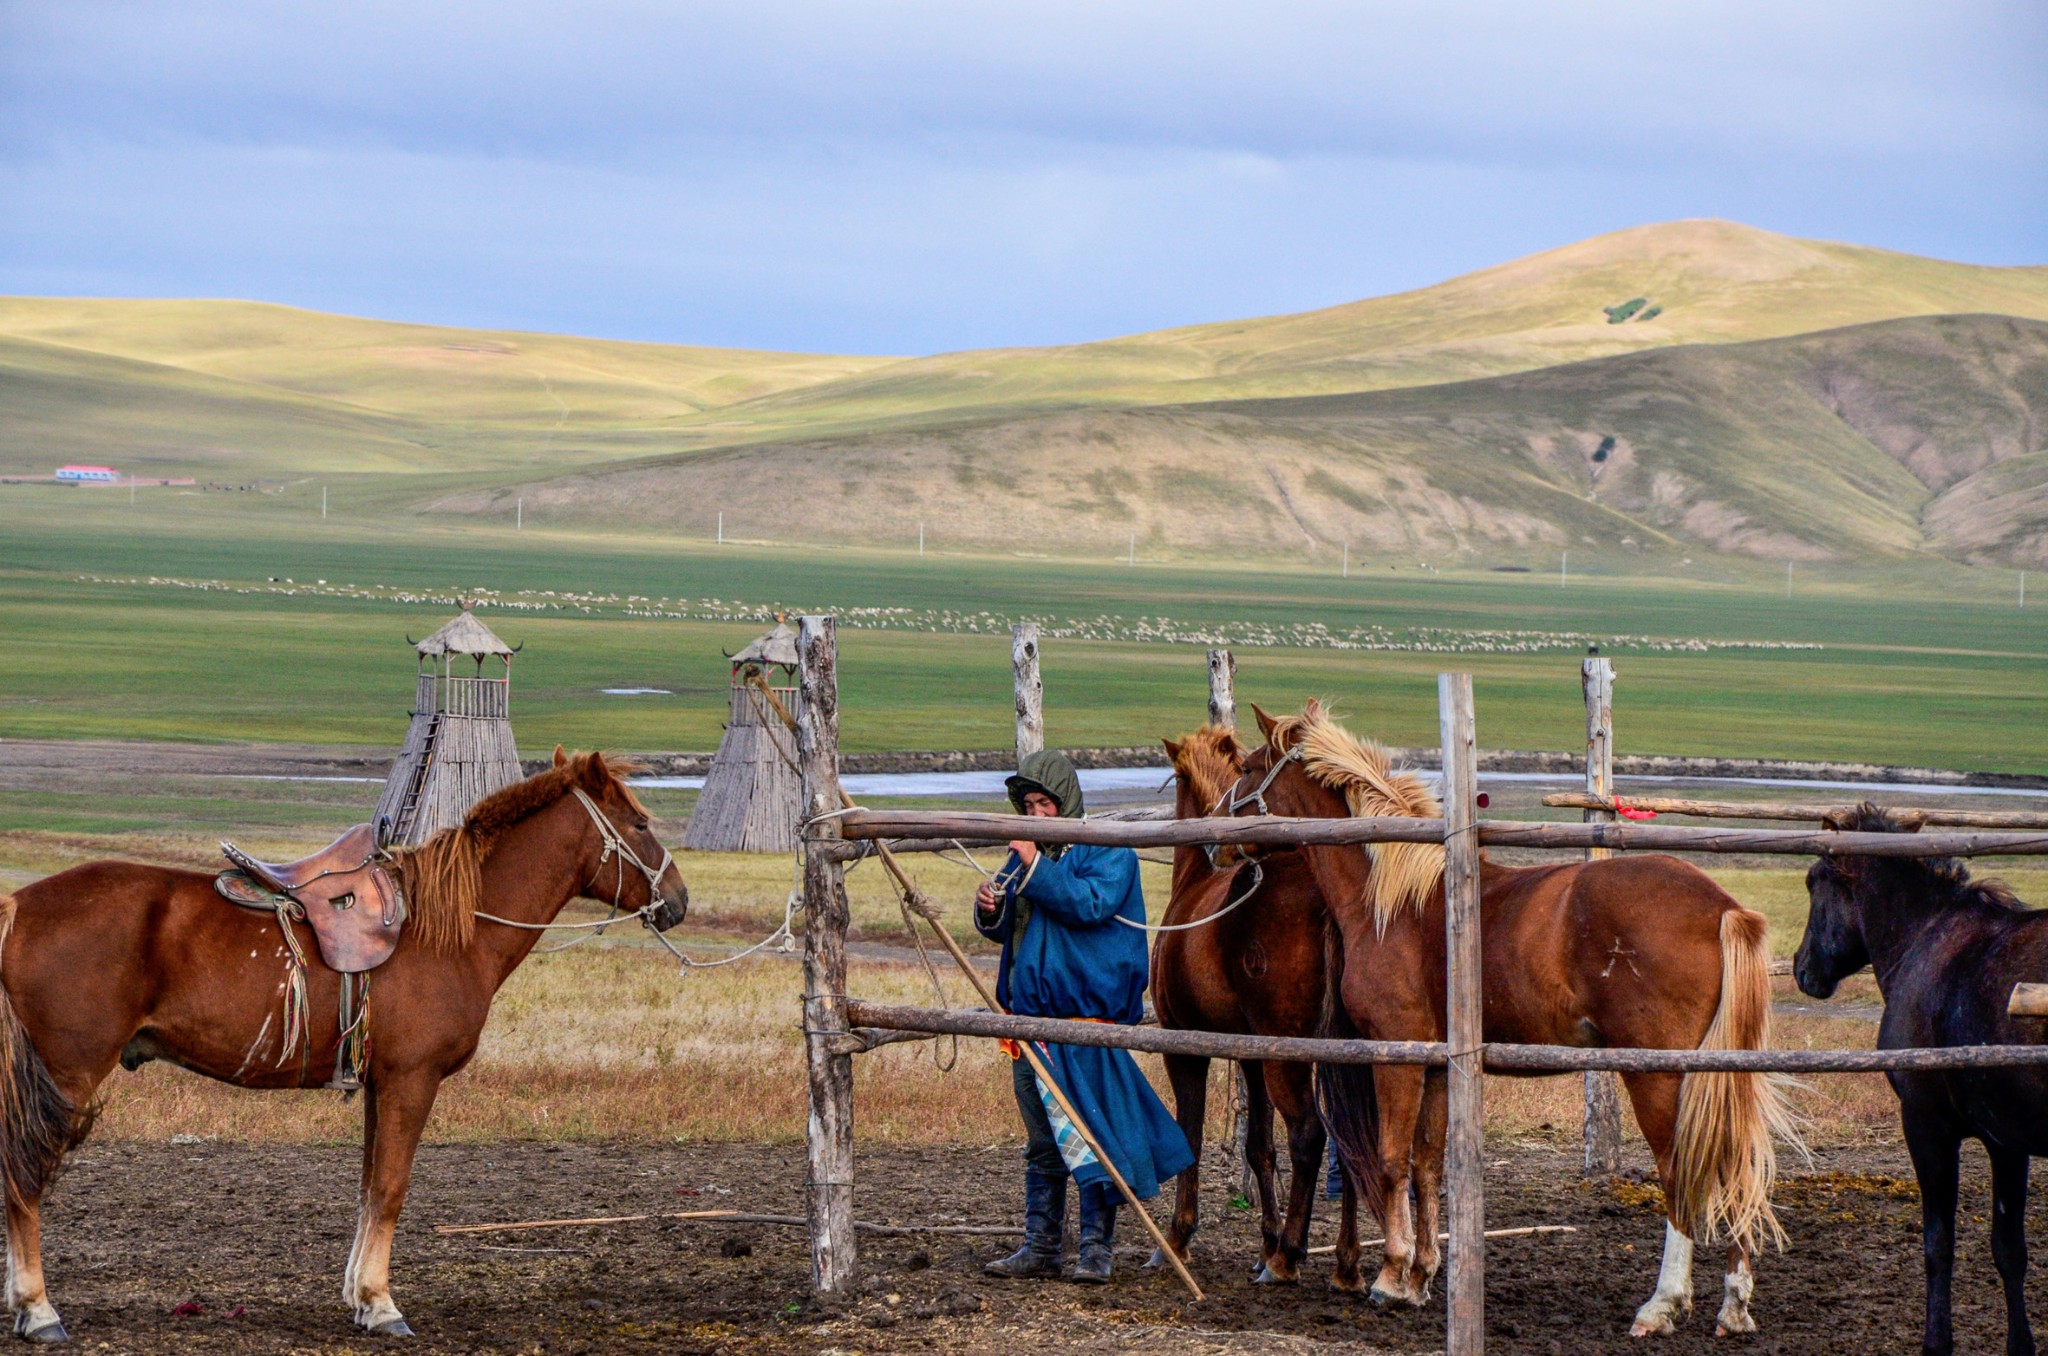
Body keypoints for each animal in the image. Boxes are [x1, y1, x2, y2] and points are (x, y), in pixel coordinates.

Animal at [0, 753, 688, 1351]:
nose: (679, 900)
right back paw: (38, 1310)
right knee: (25, 1178)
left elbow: (367, 1189)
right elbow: (391, 1188)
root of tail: (19, 905)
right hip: (67, 1074)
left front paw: (360, 1296)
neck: (450, 928)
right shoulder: (413, 1081)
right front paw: (382, 1305)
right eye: (640, 824)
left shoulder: (381, 1085)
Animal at [1155, 729, 1359, 1294]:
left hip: (1286, 1058)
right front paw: (1265, 1239)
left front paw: (1177, 1238)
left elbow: (1190, 1135)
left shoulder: (1185, 1048)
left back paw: (1287, 1258)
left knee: (1310, 1135)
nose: (1220, 846)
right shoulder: (1249, 1056)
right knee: (1349, 1141)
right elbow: (1259, 1147)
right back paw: (1345, 1264)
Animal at [1220, 704, 1802, 1343]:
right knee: (1733, 1166)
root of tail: (1723, 907)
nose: (1217, 841)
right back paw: (1734, 1304)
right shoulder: (1437, 1066)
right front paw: (1421, 1277)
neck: (1394, 900)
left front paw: (1390, 1277)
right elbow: (1428, 1165)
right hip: (1717, 1076)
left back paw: (1662, 1304)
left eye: (1247, 768)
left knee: (1680, 1175)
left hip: (1658, 1076)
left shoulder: (1397, 1054)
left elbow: (1392, 1159)